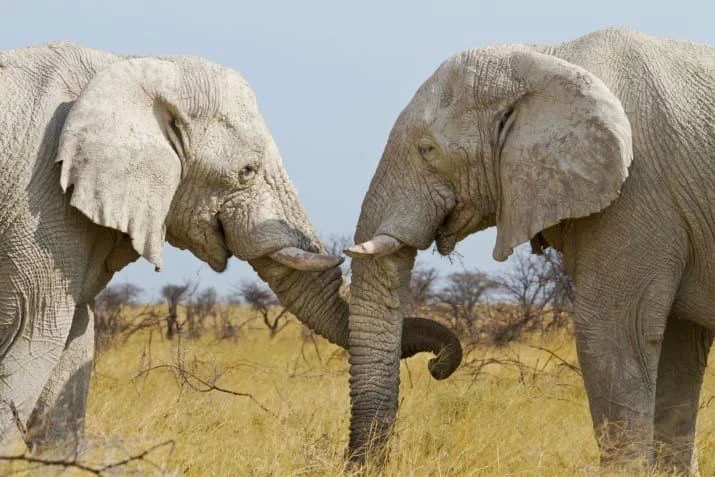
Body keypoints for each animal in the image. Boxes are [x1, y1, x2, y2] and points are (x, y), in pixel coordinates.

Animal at [0, 42, 462, 451]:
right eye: (247, 171)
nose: (437, 365)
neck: (134, 64)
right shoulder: (38, 201)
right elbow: (35, 333)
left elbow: (75, 338)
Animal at [344, 27, 713, 471]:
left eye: (428, 150)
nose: (435, 365)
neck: (548, 59)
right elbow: (677, 349)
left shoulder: (638, 193)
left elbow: (613, 333)